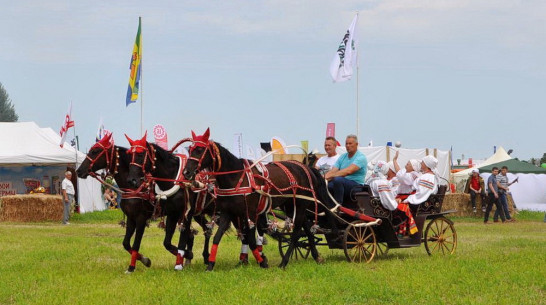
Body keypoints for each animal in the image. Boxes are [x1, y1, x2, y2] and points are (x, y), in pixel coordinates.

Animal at [183, 128, 336, 268]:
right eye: (190, 149)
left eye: (200, 149)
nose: (186, 172)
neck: (238, 177)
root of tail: (305, 167)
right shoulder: (228, 212)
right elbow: (217, 237)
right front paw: (210, 264)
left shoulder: (249, 213)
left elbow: (251, 240)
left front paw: (262, 262)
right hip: (290, 205)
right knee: (306, 228)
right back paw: (316, 256)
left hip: (300, 204)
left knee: (297, 232)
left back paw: (284, 262)